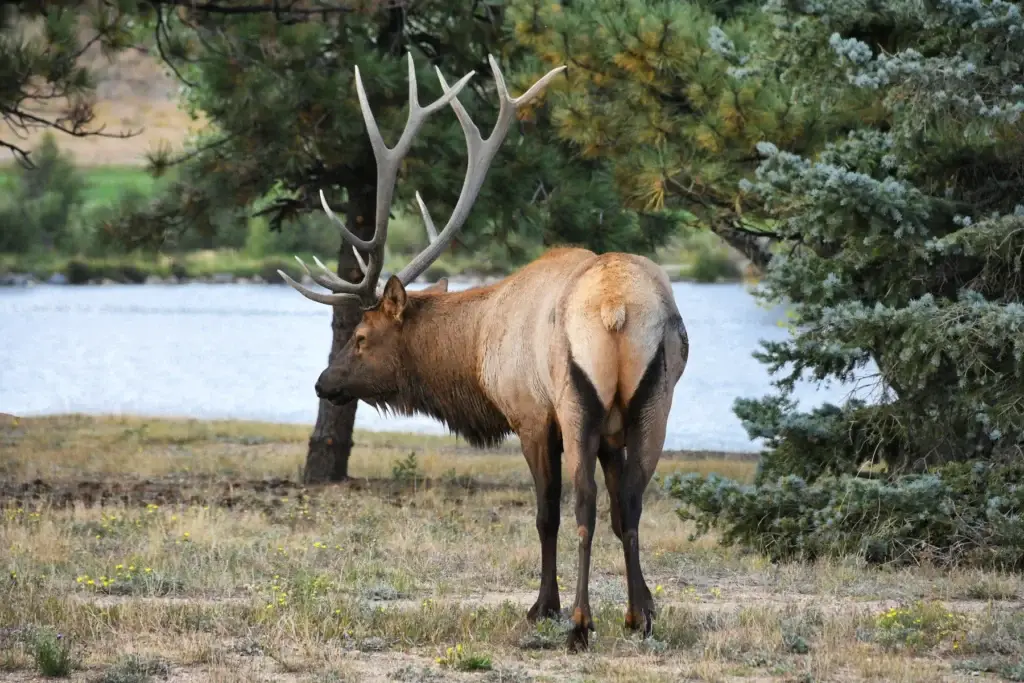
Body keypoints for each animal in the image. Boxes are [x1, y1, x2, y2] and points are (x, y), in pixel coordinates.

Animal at [279, 53, 689, 651]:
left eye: (361, 336)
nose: (322, 382)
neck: (477, 351)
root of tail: (617, 309)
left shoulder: (530, 415)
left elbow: (546, 515)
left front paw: (542, 607)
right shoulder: (612, 430)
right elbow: (622, 511)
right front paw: (645, 605)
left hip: (577, 401)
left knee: (582, 503)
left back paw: (579, 624)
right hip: (654, 402)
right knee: (632, 501)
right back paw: (639, 618)